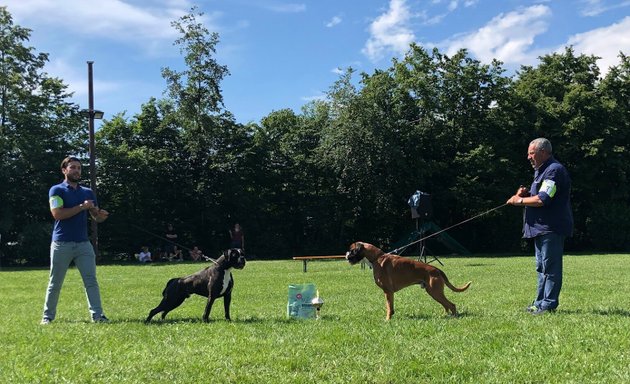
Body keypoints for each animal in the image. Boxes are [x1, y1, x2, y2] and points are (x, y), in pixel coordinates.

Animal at [346, 242, 474, 320]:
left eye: (352, 250)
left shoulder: (387, 291)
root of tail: (436, 269)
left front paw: (387, 320)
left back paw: (454, 317)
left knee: (451, 305)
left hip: (435, 292)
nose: (346, 254)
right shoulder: (390, 293)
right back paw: (444, 316)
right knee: (446, 305)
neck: (377, 258)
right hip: (434, 292)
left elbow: (388, 306)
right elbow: (391, 306)